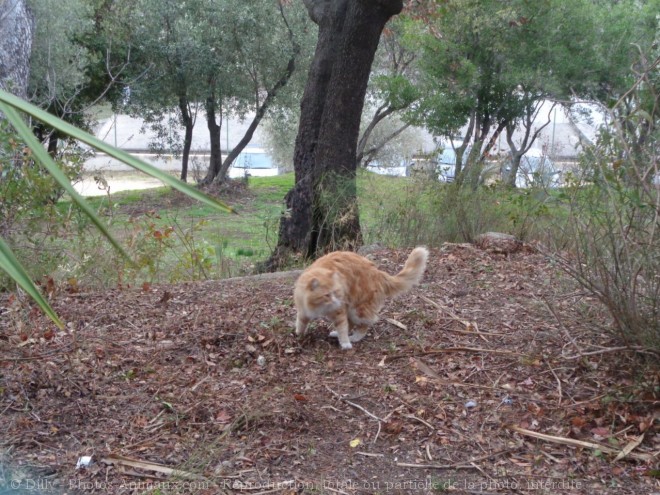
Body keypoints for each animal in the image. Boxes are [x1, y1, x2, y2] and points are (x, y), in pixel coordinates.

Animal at [292, 247, 428, 348]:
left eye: (337, 292)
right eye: (327, 295)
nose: (337, 301)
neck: (316, 306)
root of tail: (379, 273)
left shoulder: (339, 311)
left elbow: (342, 327)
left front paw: (345, 343)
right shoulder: (303, 310)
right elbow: (301, 322)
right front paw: (299, 334)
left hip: (357, 309)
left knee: (364, 326)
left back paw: (353, 338)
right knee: (352, 324)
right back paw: (337, 334)